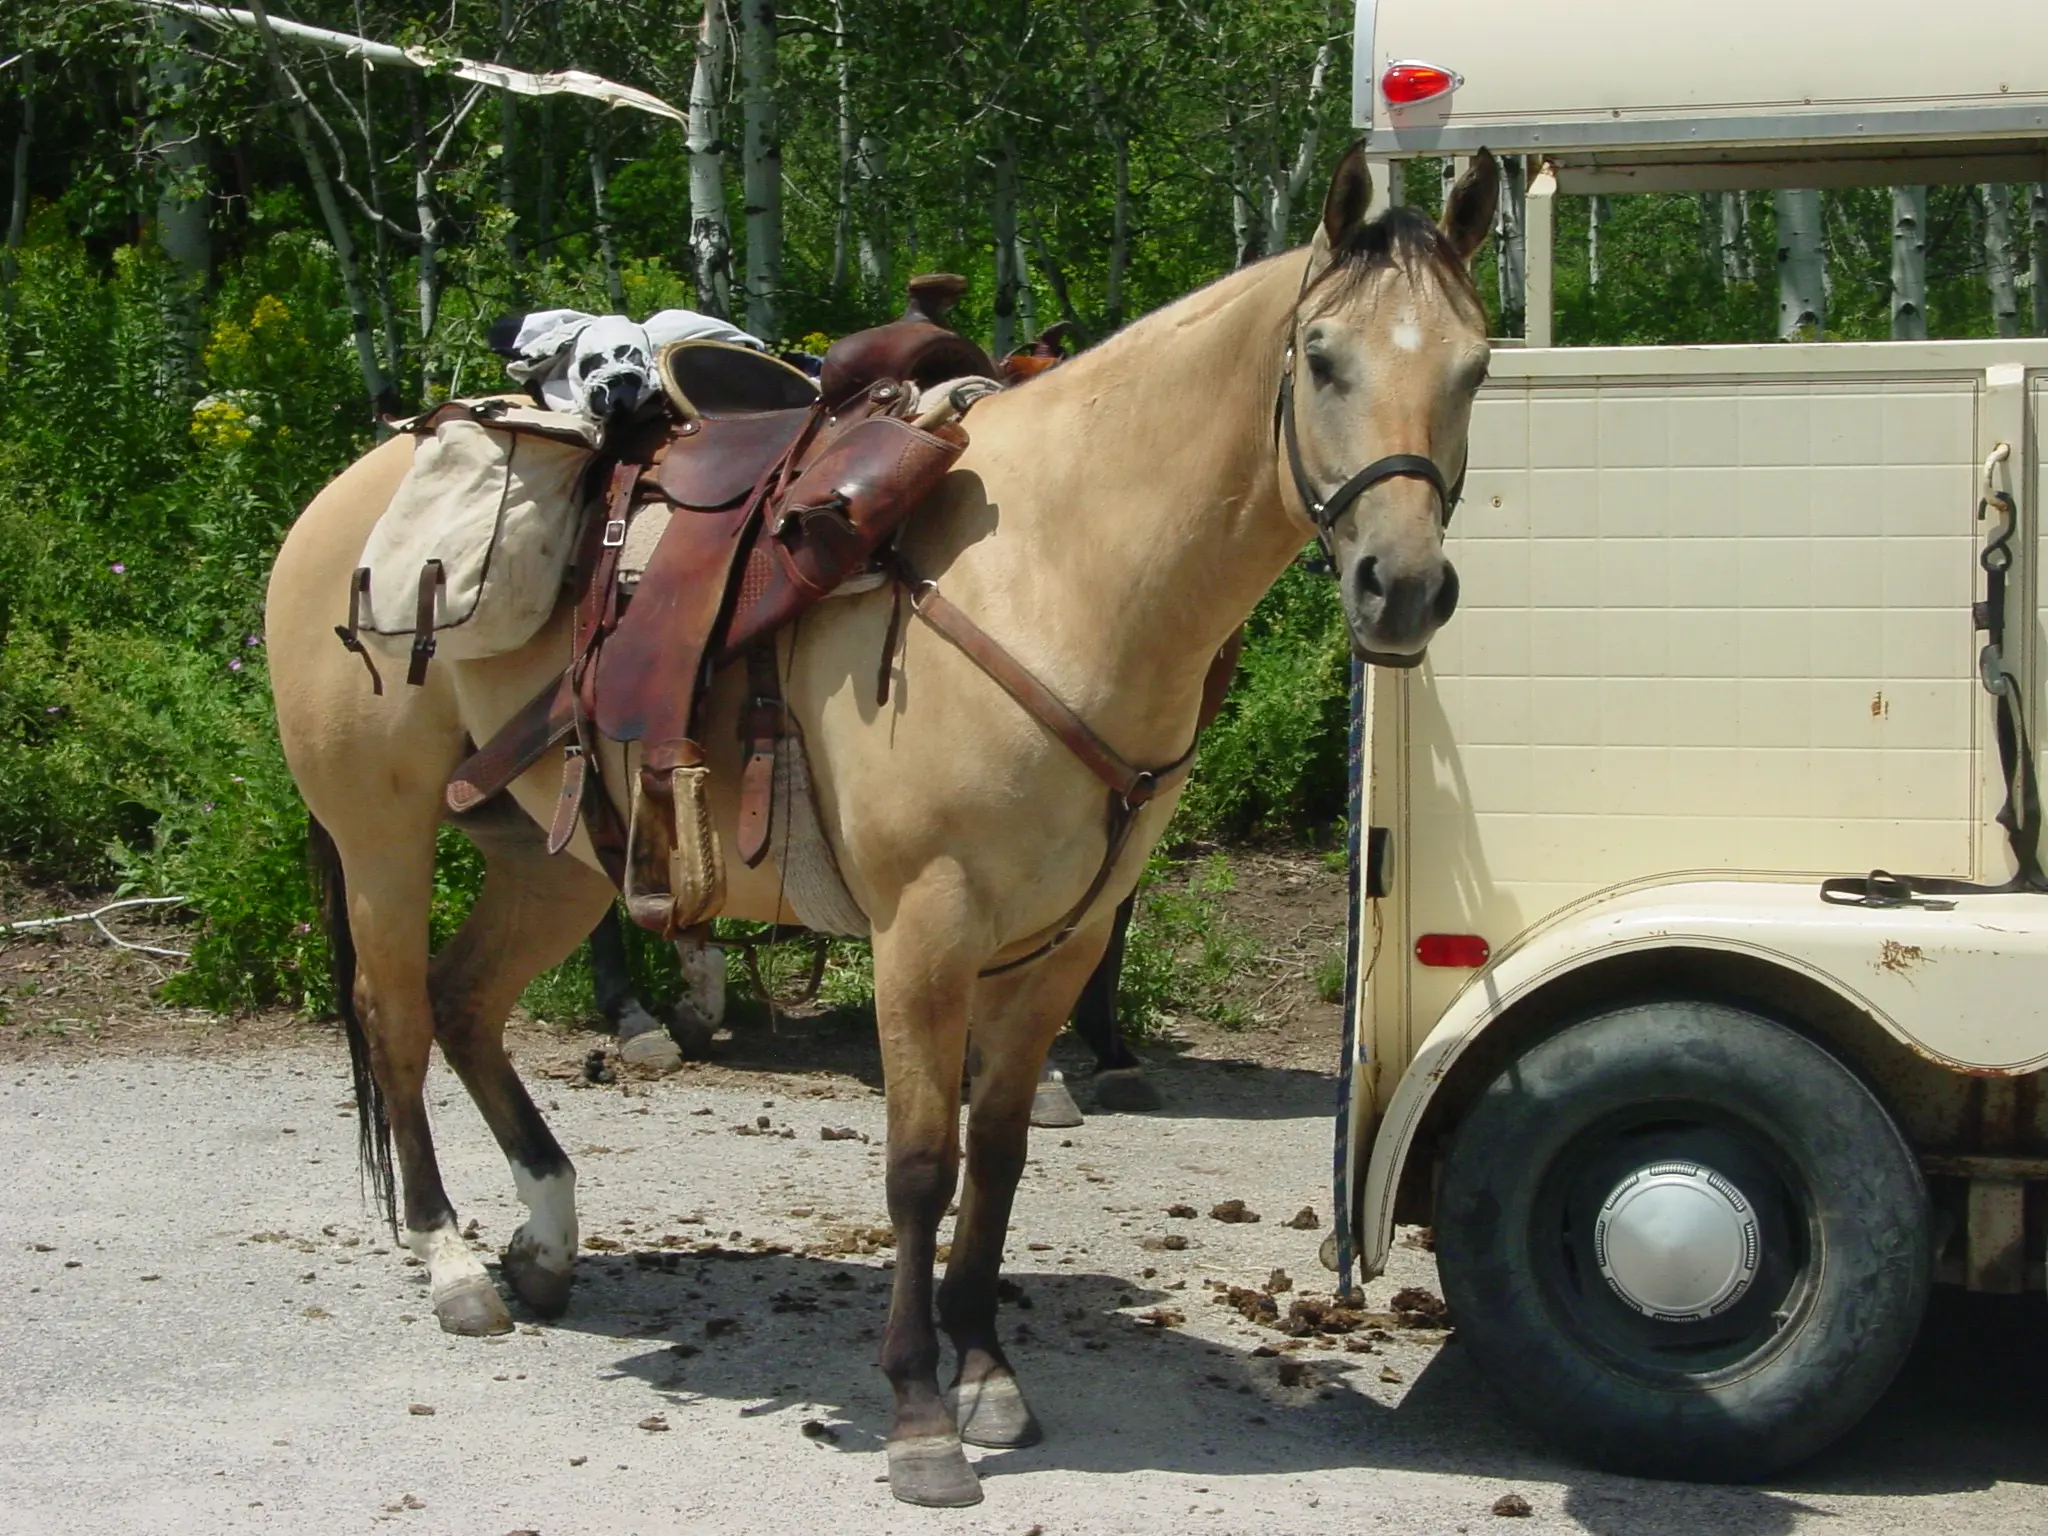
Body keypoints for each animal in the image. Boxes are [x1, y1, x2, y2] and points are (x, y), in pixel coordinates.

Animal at [264, 147, 1499, 1515]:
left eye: (1475, 366)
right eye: (1322, 357)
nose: (1403, 588)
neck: (1056, 572)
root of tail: (348, 493)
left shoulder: (1059, 942)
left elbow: (997, 1157)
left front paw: (987, 1374)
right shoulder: (926, 927)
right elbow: (917, 1166)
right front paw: (917, 1415)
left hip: (553, 857)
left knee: (467, 1002)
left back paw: (544, 1238)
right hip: (380, 835)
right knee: (396, 1017)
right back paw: (450, 1261)